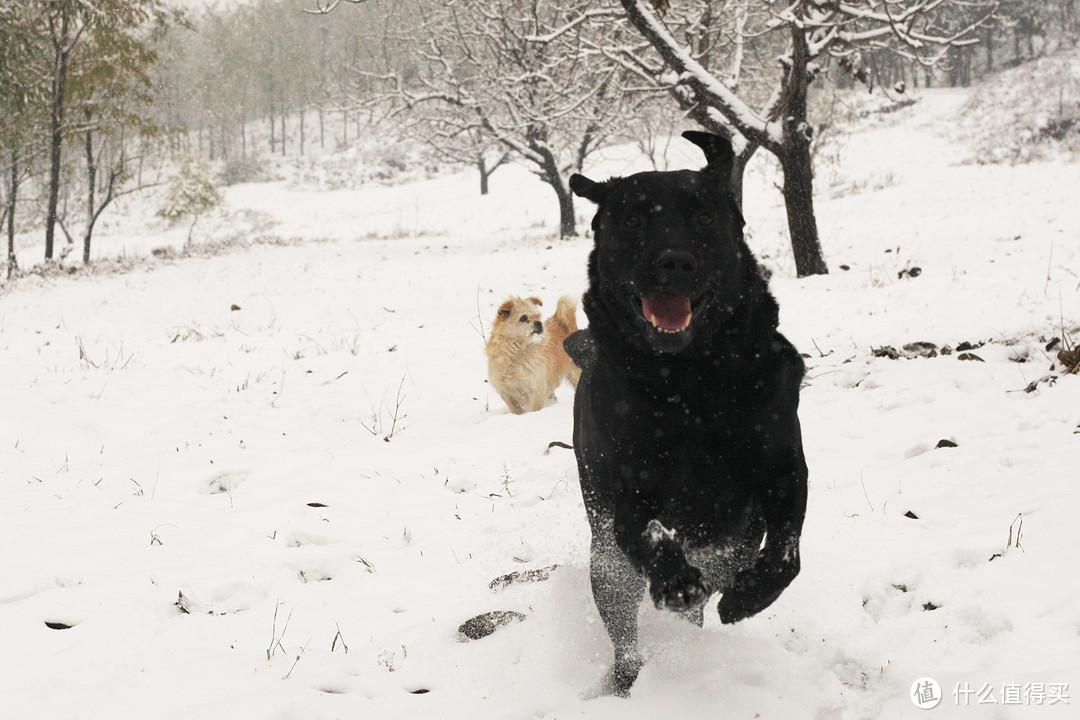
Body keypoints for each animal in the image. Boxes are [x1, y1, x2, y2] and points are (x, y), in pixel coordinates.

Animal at [570, 131, 807, 699]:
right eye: (634, 219)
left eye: (702, 216)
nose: (674, 262)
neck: (692, 381)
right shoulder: (628, 497)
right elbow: (652, 534)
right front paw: (676, 582)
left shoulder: (784, 467)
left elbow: (786, 550)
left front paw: (749, 596)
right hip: (605, 560)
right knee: (626, 634)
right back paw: (627, 677)